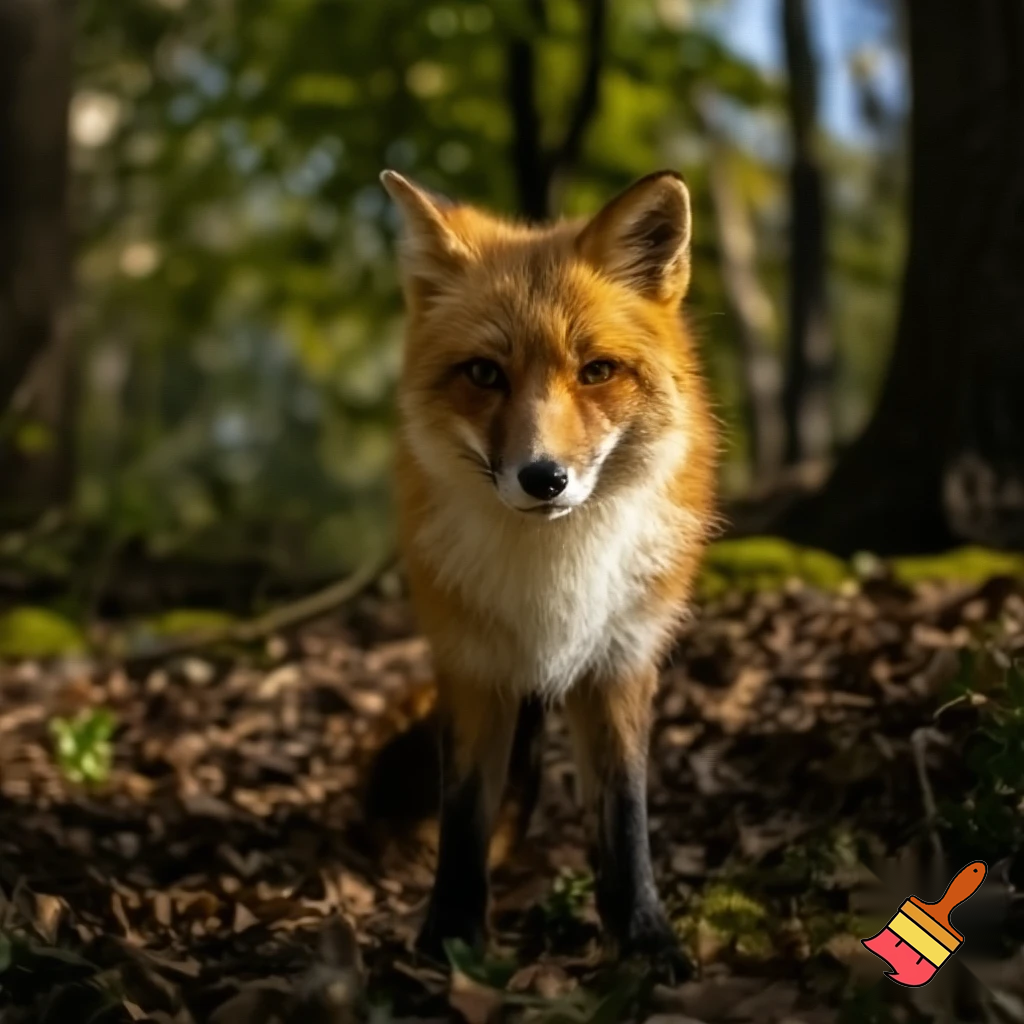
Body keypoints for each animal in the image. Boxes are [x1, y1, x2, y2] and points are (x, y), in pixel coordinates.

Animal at [380, 168, 717, 976]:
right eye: (483, 373)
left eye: (596, 371)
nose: (544, 478)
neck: (552, 577)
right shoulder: (472, 663)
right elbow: (465, 817)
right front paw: (448, 940)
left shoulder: (622, 659)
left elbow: (624, 818)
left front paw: (644, 939)